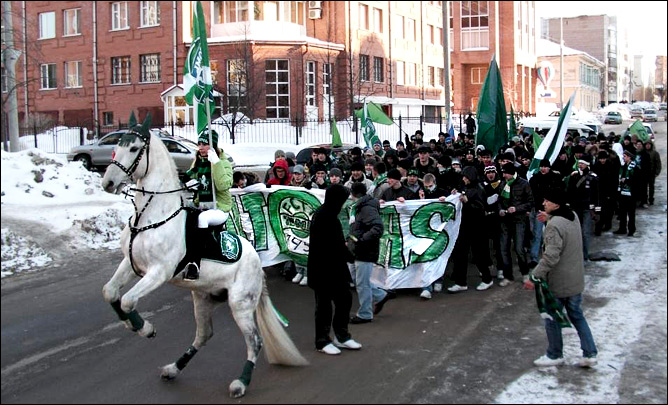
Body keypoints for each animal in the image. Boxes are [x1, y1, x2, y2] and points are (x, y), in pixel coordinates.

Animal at [100, 115, 310, 396]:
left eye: (134, 148)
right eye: (116, 146)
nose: (108, 183)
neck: (150, 216)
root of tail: (256, 260)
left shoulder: (159, 272)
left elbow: (127, 300)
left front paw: (145, 328)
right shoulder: (132, 264)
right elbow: (110, 292)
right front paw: (130, 324)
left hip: (240, 304)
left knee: (254, 341)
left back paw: (240, 383)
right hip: (202, 298)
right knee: (204, 335)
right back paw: (173, 369)